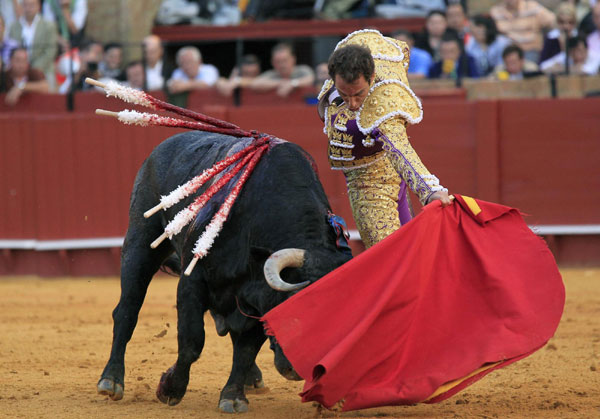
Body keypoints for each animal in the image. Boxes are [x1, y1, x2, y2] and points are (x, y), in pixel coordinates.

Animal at [96, 132, 354, 414]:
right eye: (294, 309)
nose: (298, 369)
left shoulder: (256, 298)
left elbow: (246, 349)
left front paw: (233, 396)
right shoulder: (193, 282)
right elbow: (192, 340)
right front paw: (170, 389)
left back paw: (252, 379)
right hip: (141, 242)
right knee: (127, 310)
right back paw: (111, 380)